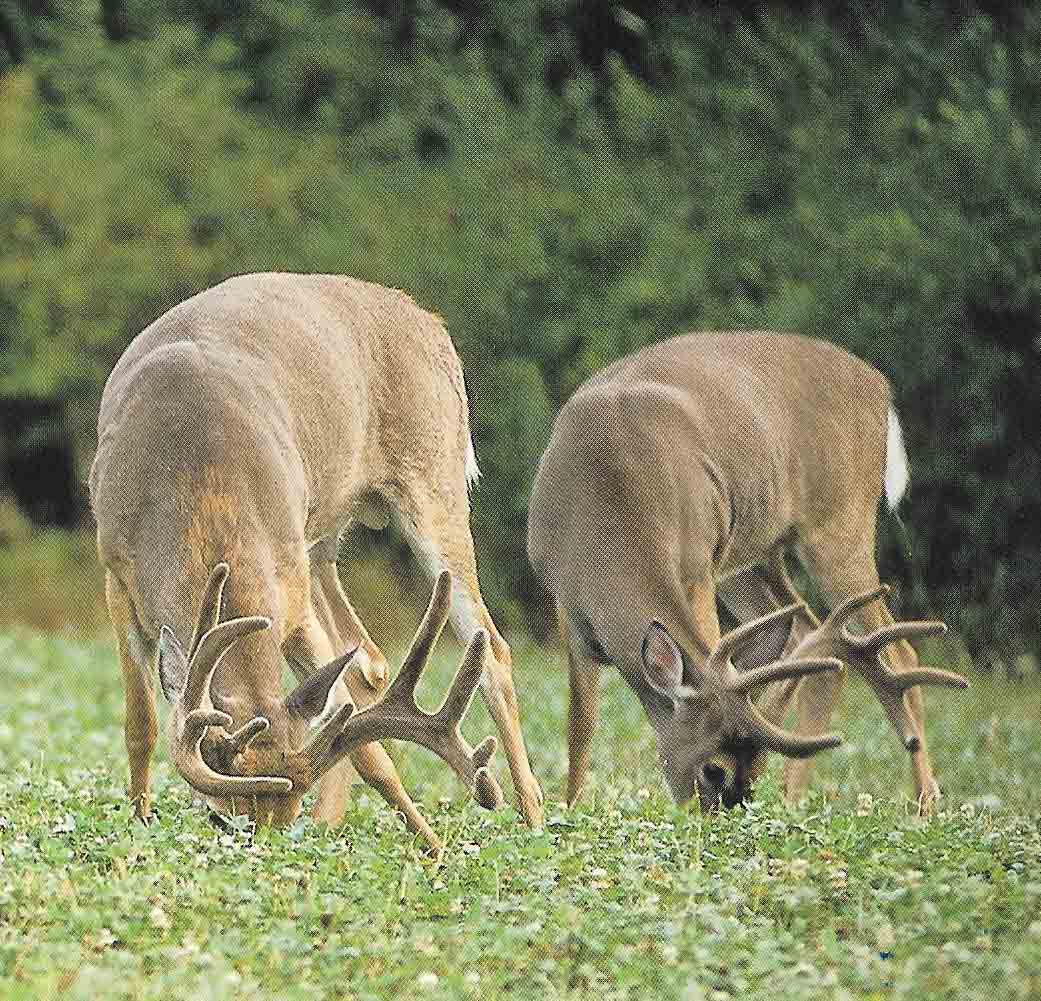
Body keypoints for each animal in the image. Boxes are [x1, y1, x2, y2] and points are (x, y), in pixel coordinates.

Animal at [89, 271, 544, 851]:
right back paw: (337, 819)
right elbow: (141, 724)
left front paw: (431, 847)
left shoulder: (290, 593)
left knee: (491, 648)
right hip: (323, 538)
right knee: (369, 661)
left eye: (283, 814)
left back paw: (535, 816)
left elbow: (367, 746)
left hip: (434, 482)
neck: (196, 482)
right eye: (222, 819)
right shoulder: (116, 577)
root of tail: (432, 323)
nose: (269, 845)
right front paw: (139, 821)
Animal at [527, 332, 969, 815]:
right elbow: (580, 726)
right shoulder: (565, 599)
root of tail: (880, 387)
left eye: (750, 766)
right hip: (753, 558)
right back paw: (795, 800)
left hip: (838, 521)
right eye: (714, 770)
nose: (724, 815)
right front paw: (569, 807)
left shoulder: (696, 566)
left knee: (900, 652)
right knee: (810, 643)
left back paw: (926, 803)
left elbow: (707, 649)